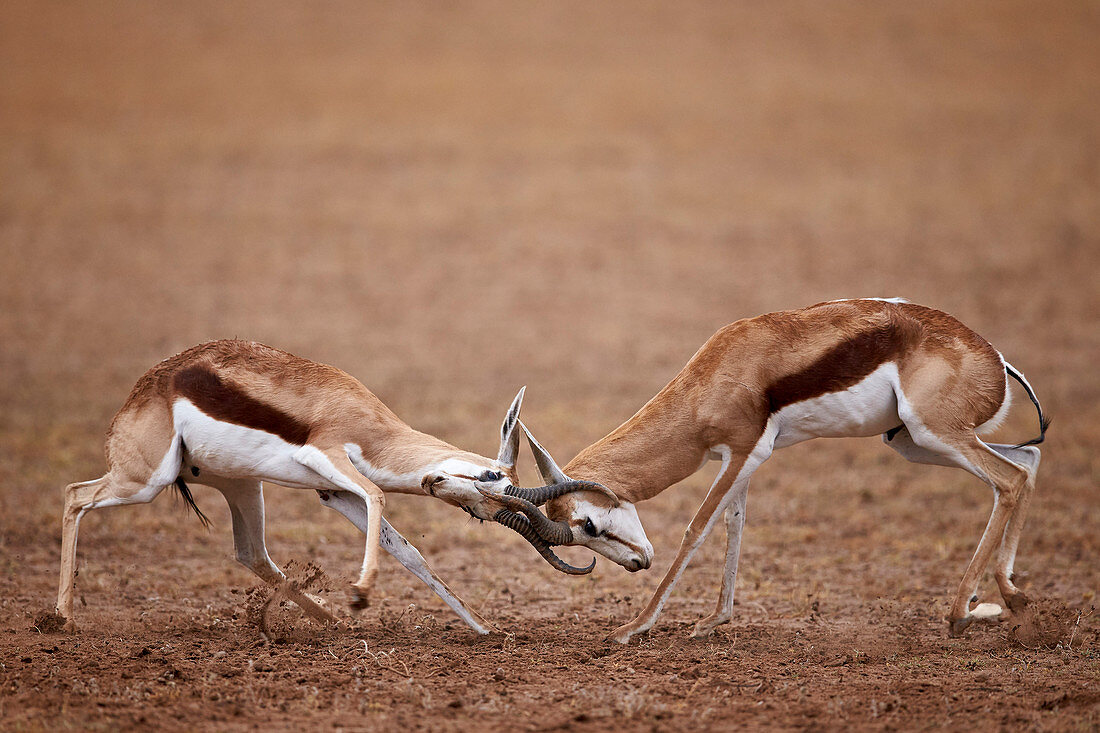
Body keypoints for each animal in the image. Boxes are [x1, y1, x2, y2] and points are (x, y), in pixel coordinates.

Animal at [55, 336, 611, 629]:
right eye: (491, 478)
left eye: (485, 513)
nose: (435, 481)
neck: (369, 423)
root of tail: (146, 388)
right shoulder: (328, 456)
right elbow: (381, 494)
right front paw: (361, 594)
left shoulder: (333, 490)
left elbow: (409, 552)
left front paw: (484, 627)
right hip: (144, 480)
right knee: (74, 495)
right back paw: (59, 617)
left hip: (241, 487)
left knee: (252, 555)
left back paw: (333, 623)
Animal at [440, 297, 1047, 638]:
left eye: (587, 525)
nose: (637, 563)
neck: (721, 372)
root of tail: (993, 357)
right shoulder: (745, 458)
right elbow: (734, 523)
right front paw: (714, 622)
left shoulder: (742, 452)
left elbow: (697, 528)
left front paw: (634, 628)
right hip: (910, 441)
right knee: (1028, 460)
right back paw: (1007, 597)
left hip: (930, 433)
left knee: (1010, 478)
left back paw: (963, 613)